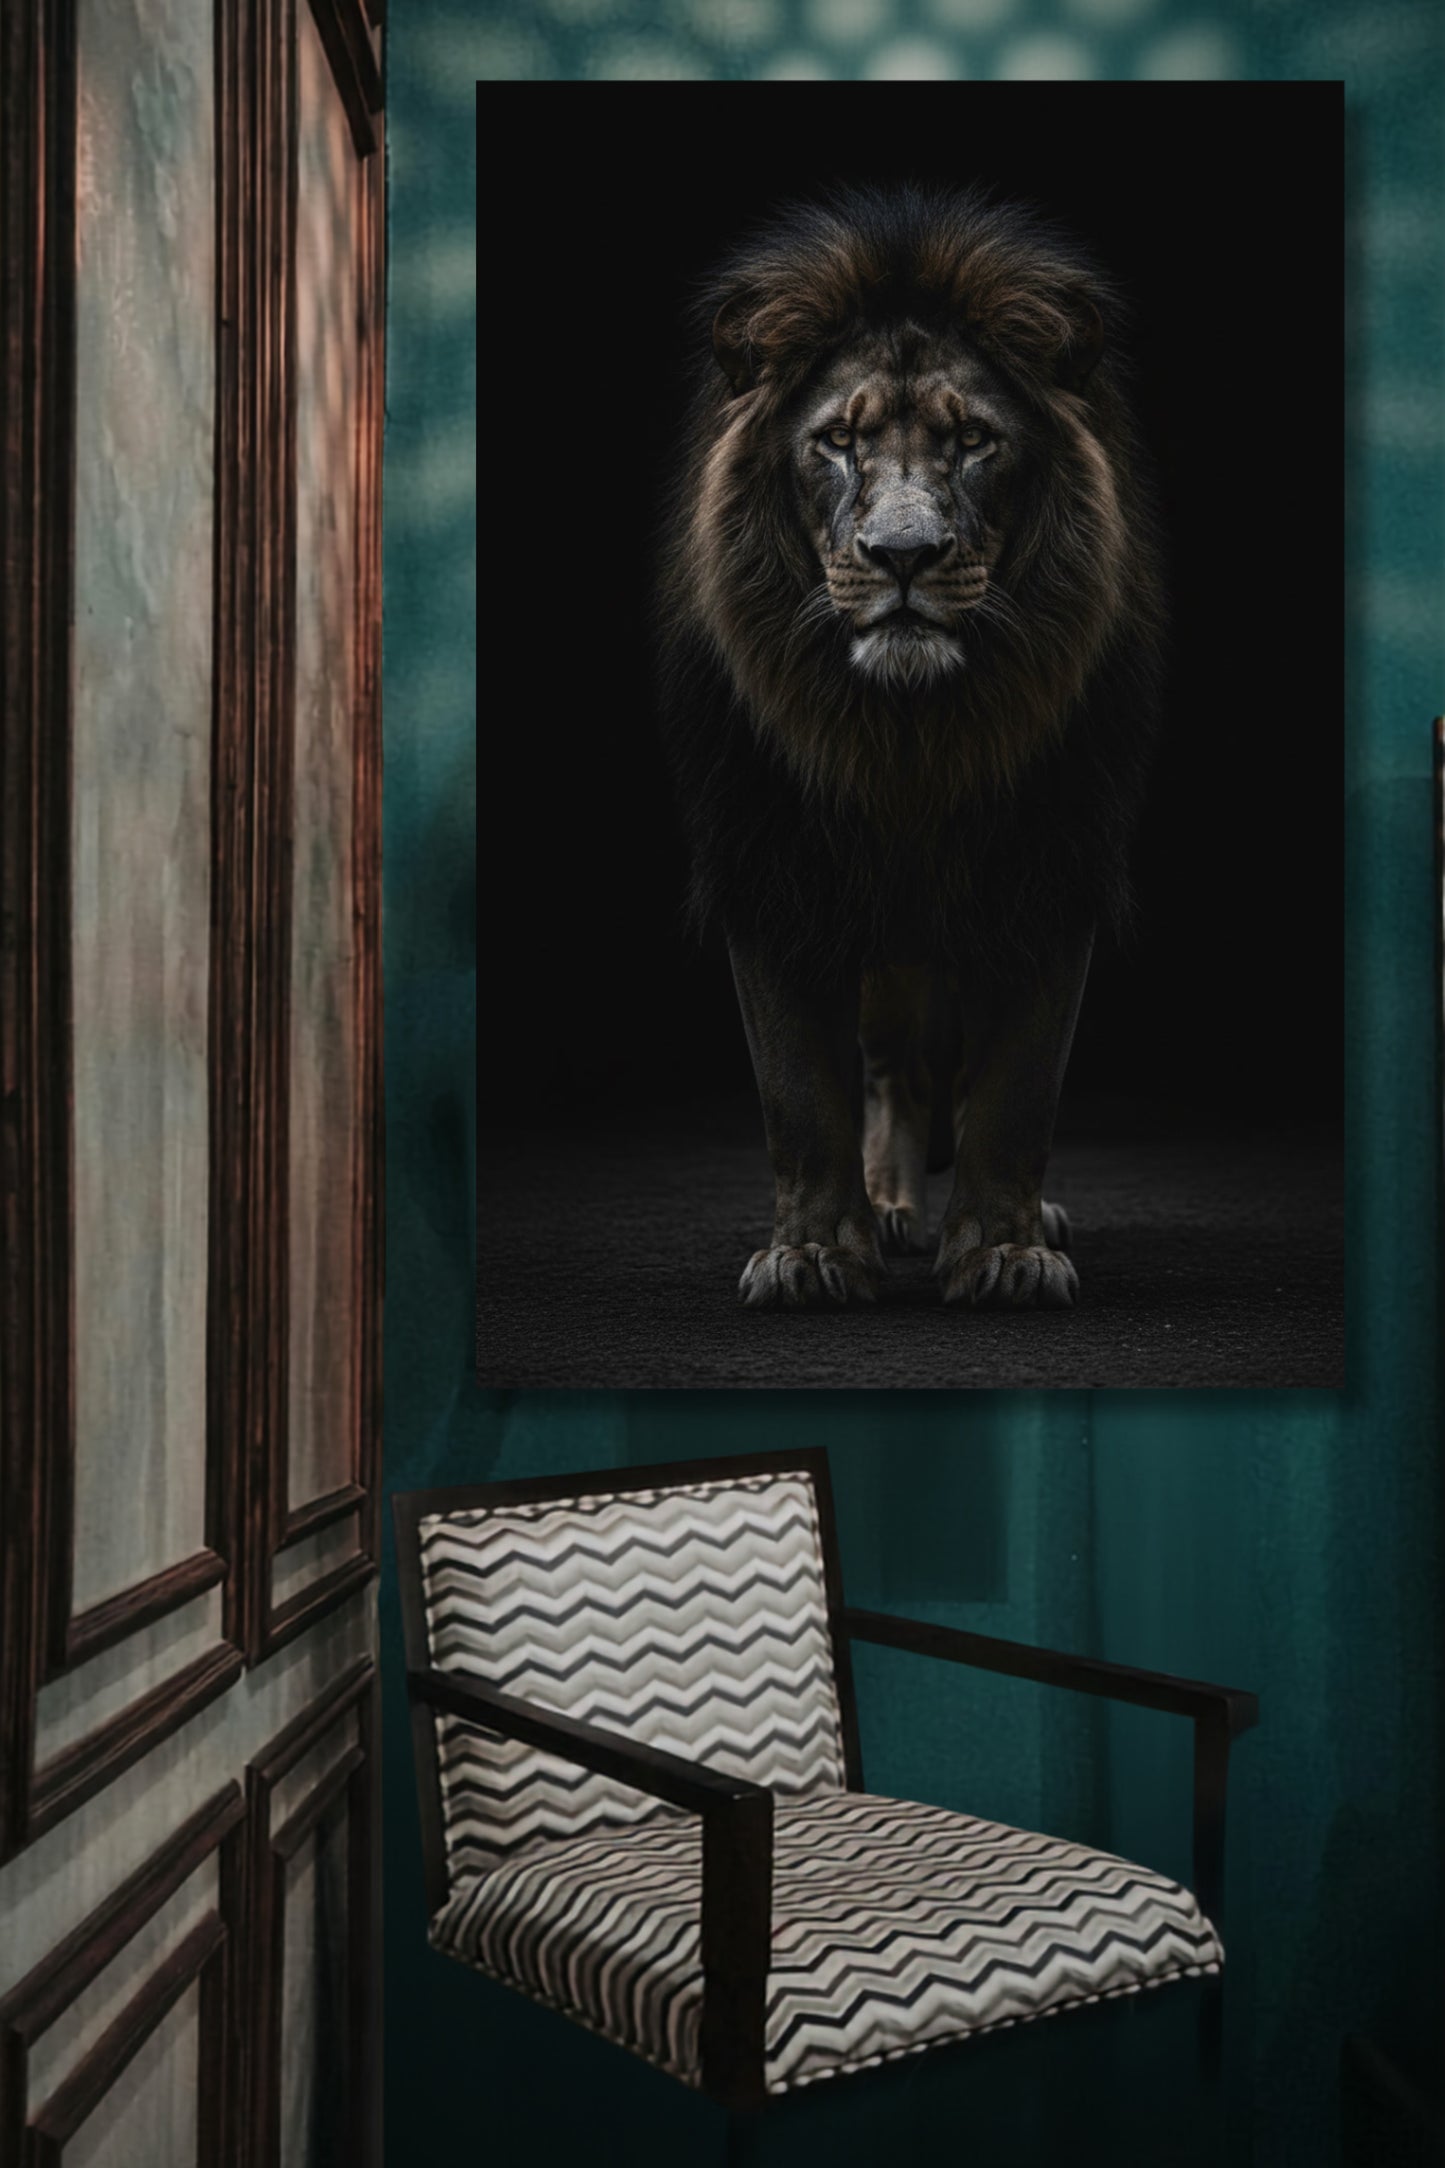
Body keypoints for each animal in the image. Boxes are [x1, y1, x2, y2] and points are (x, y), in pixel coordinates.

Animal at [655, 184, 1165, 1310]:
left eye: (972, 438)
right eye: (836, 442)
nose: (901, 555)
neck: (911, 735)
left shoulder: (1048, 867)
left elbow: (1017, 1089)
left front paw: (1004, 1253)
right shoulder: (769, 865)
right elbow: (799, 1095)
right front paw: (811, 1256)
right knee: (893, 1068)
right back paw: (889, 1208)